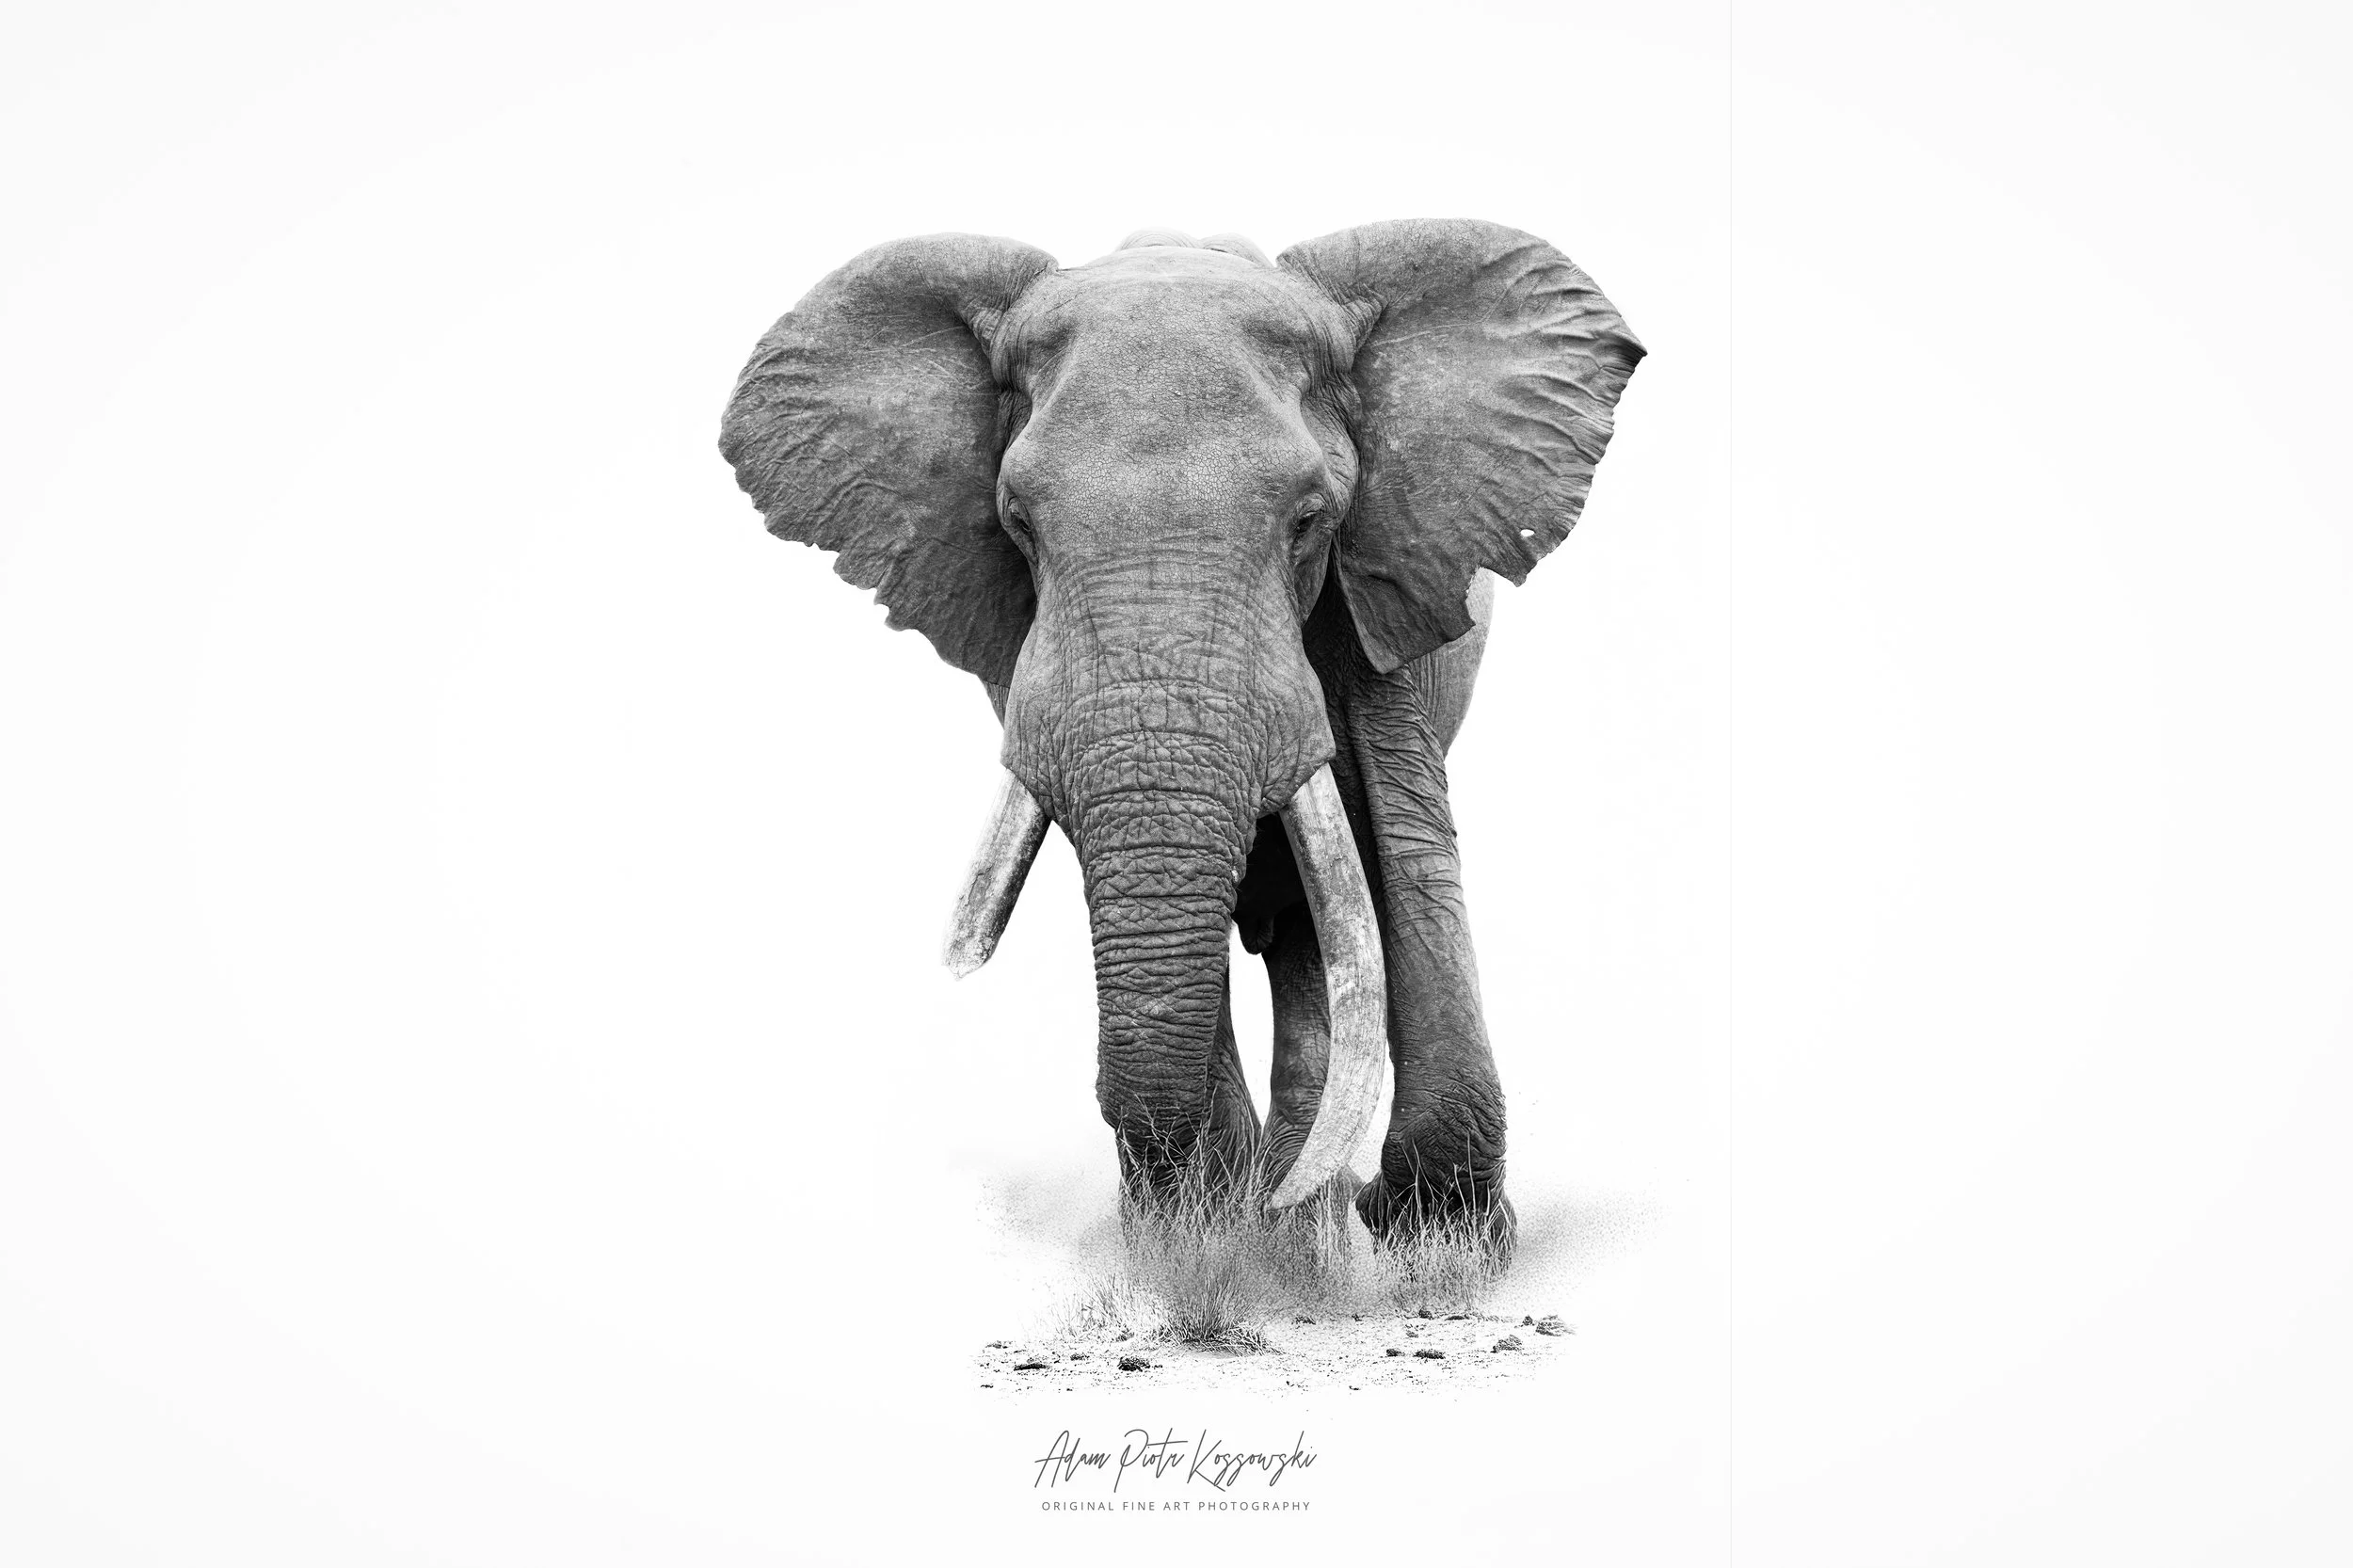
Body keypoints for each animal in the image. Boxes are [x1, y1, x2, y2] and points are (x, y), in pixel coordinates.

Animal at [719, 221, 1642, 1257]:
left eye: (1309, 521)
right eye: (1016, 526)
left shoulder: (1385, 584)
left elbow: (1403, 844)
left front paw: (1440, 1242)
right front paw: (1201, 1232)